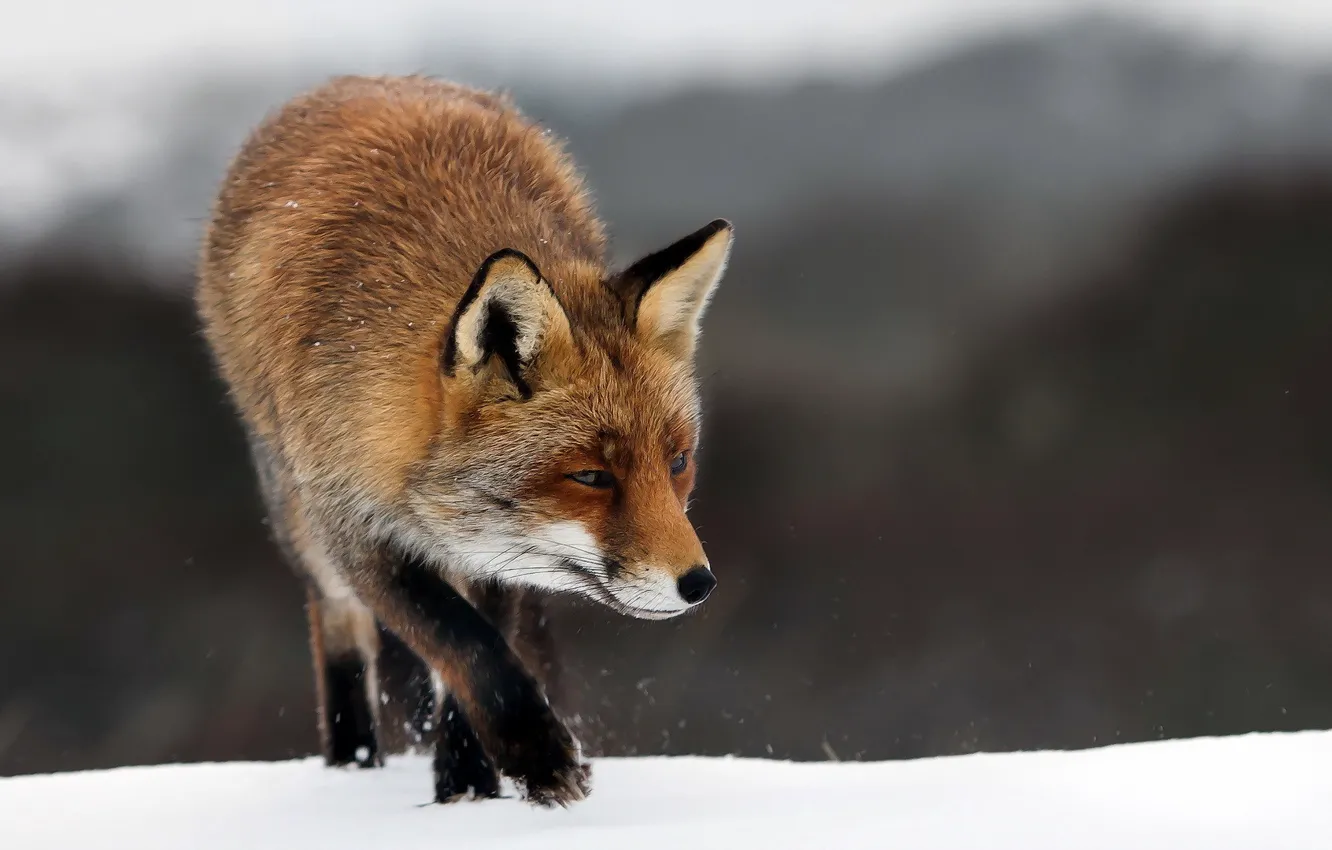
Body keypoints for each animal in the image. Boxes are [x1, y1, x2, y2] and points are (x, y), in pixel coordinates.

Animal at [195, 75, 731, 807]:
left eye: (677, 463)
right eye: (591, 476)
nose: (699, 584)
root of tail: (360, 79)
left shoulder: (494, 555)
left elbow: (477, 649)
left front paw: (469, 784)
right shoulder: (353, 526)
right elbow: (464, 645)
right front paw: (537, 755)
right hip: (296, 514)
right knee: (336, 621)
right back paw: (351, 762)